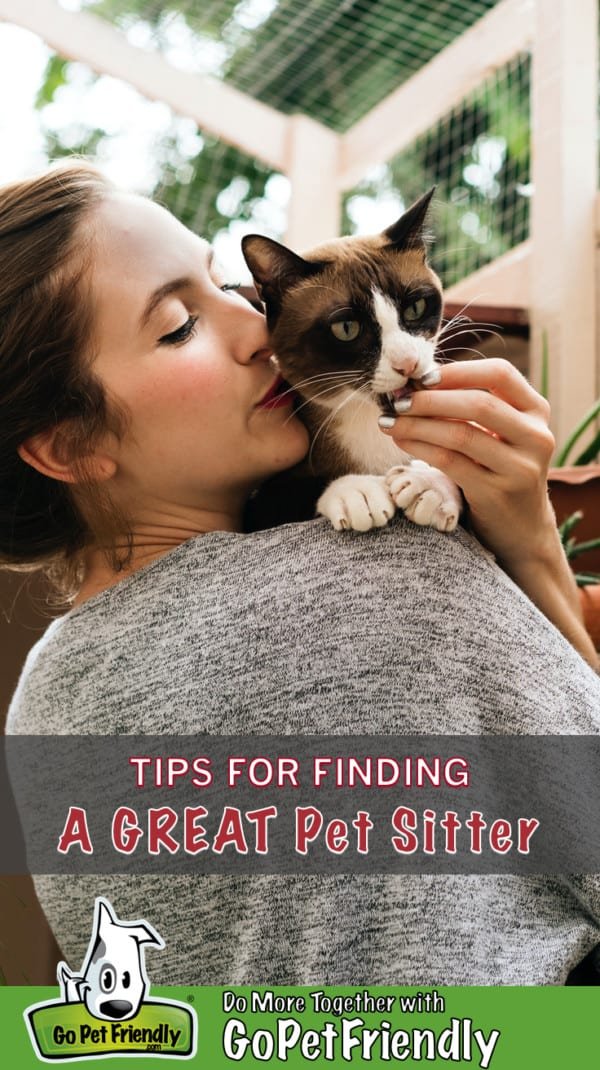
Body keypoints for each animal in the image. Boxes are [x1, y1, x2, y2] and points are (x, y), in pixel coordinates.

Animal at [240, 191, 459, 535]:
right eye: (347, 328)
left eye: (415, 308)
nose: (408, 363)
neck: (368, 421)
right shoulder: (255, 506)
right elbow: (300, 488)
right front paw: (358, 490)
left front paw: (430, 485)